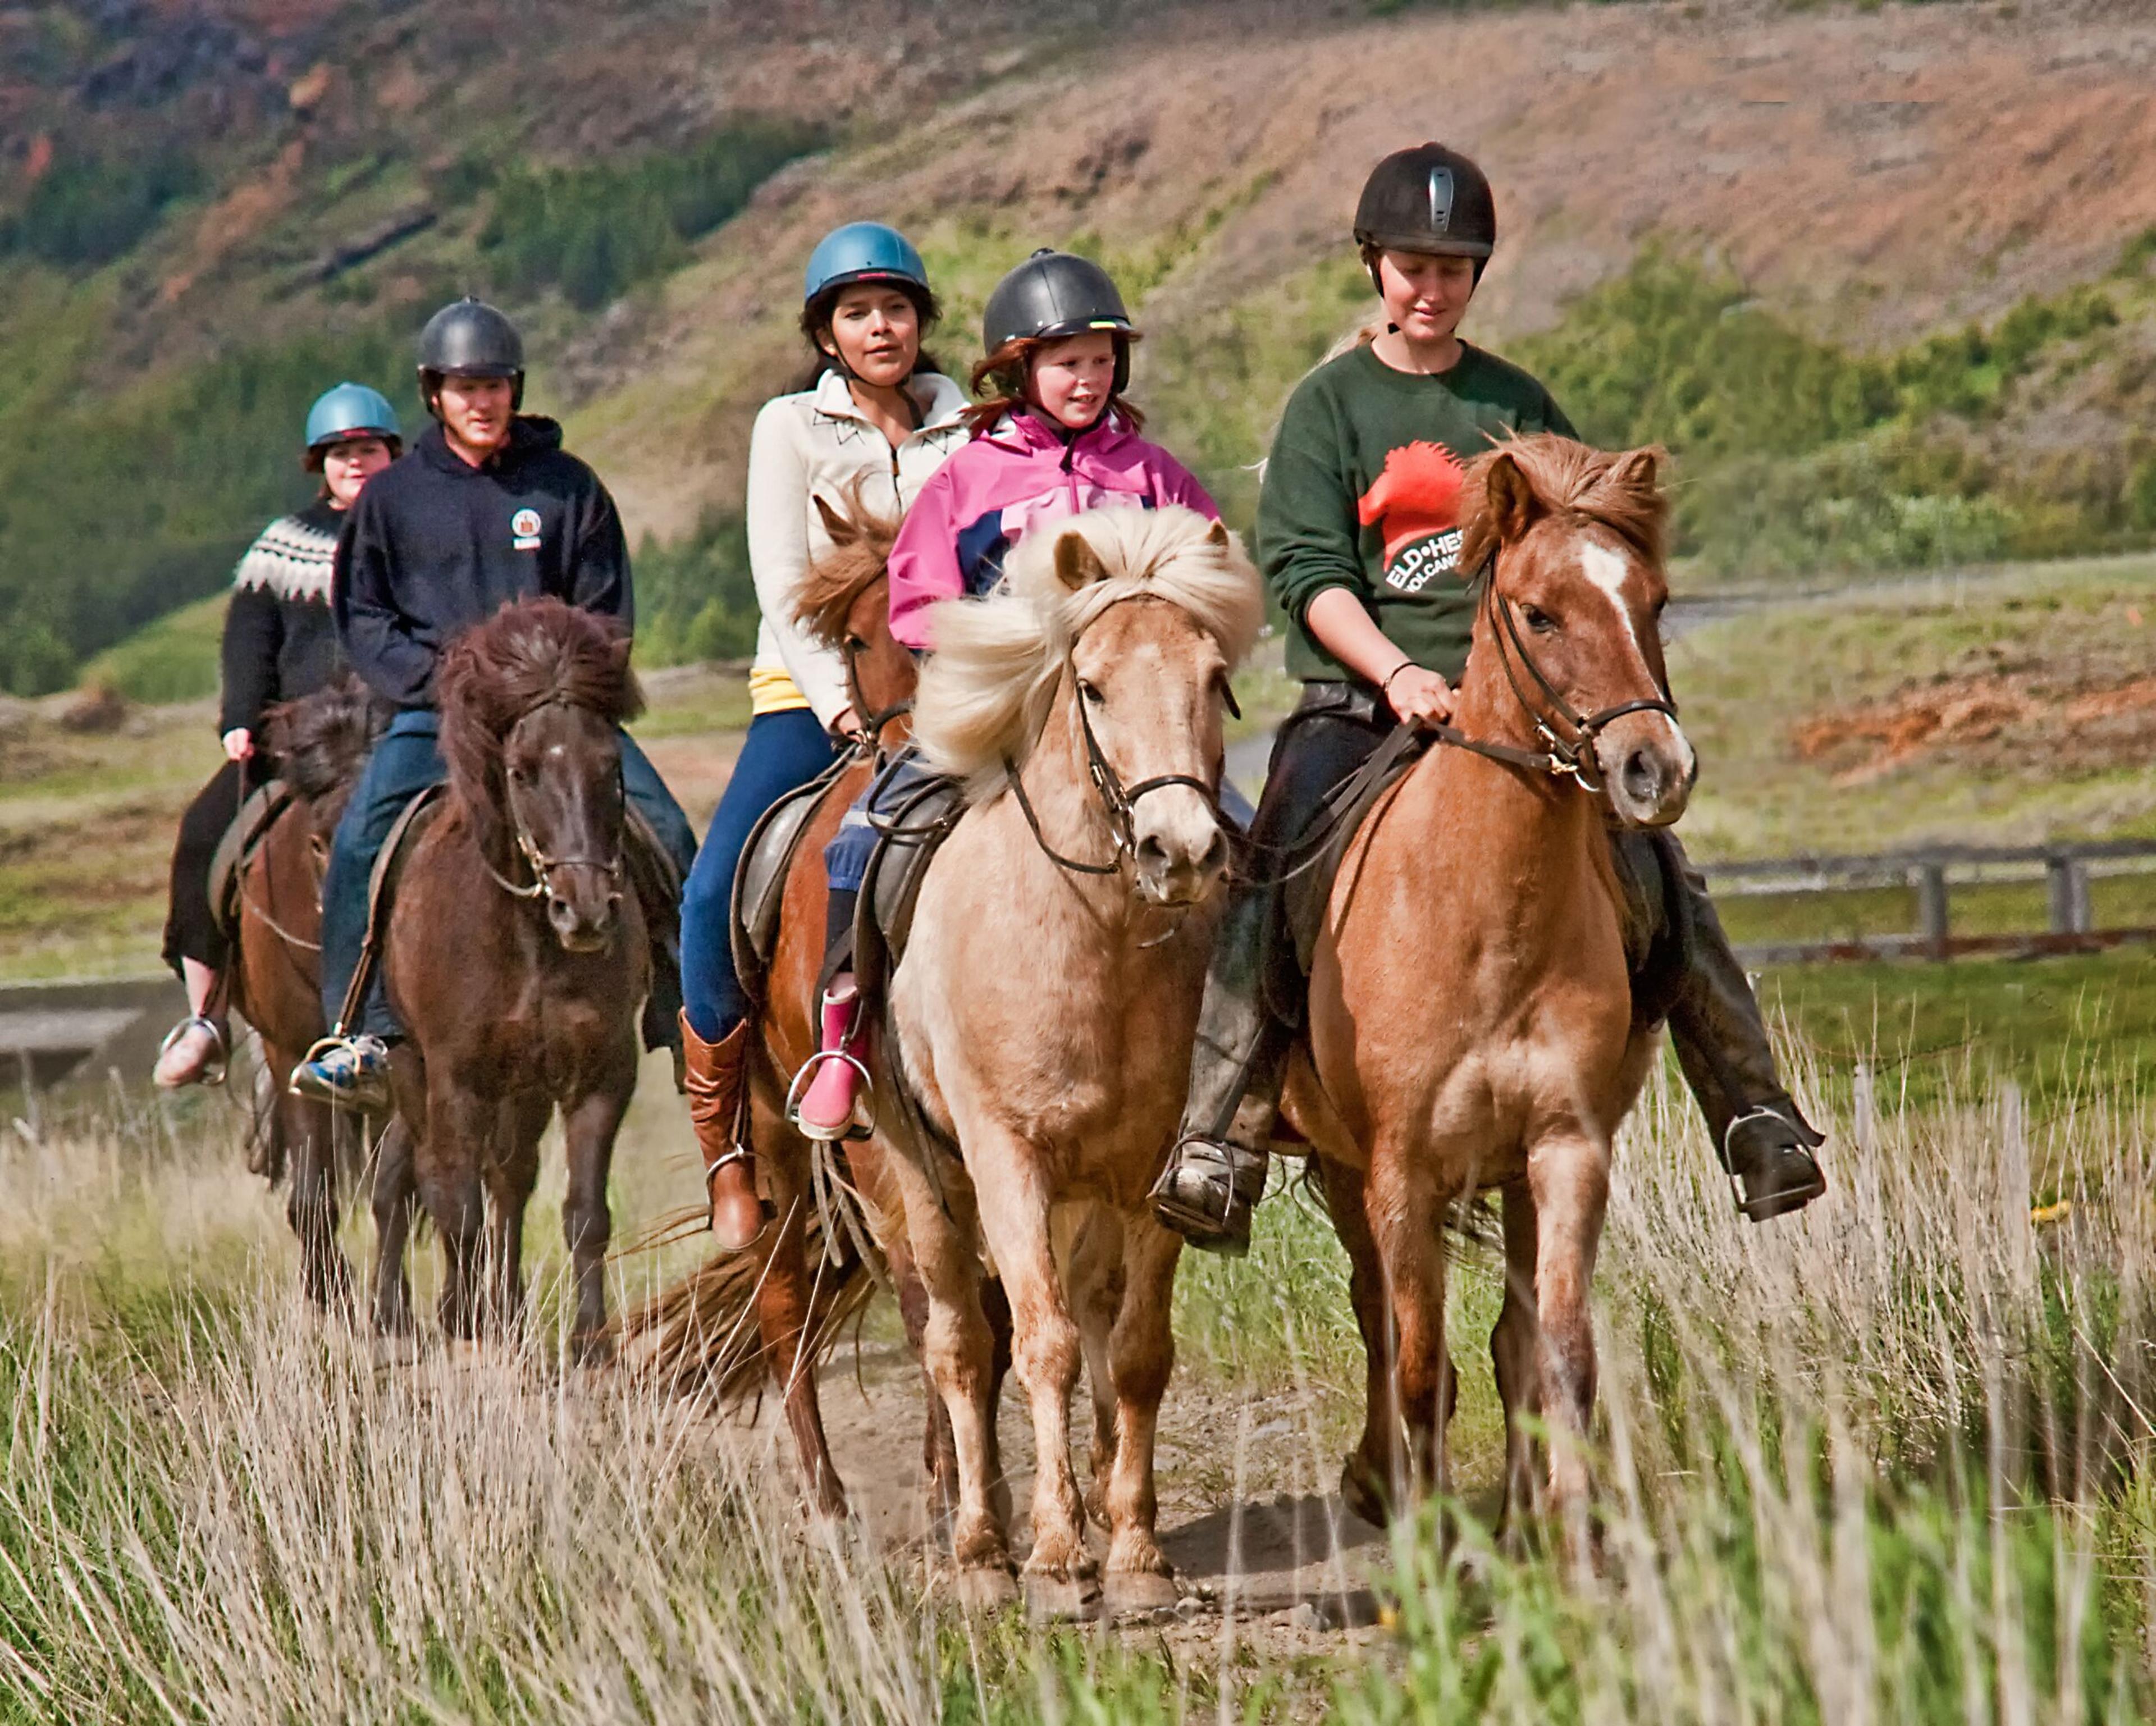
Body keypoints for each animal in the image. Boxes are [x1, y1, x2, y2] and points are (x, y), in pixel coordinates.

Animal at [371, 599, 647, 1353]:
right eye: (521, 771)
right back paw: (403, 1312)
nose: (586, 909)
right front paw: (466, 1322)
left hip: (522, 1090)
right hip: (413, 1072)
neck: (526, 944)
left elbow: (584, 1209)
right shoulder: (456, 1081)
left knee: (507, 1178)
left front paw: (589, 1336)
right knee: (415, 1173)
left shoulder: (601, 1073)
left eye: (610, 763)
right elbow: (454, 1202)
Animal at [1276, 435, 1698, 1551]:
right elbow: (1422, 1361)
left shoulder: (1564, 1149)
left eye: (1654, 600)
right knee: (1378, 1314)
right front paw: (1432, 1547)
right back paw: (1383, 1485)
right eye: (1541, 612)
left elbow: (1559, 1352)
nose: (1656, 769)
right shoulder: (1401, 1172)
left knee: (1504, 1338)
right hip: (1350, 1169)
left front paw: (1572, 1537)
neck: (1484, 923)